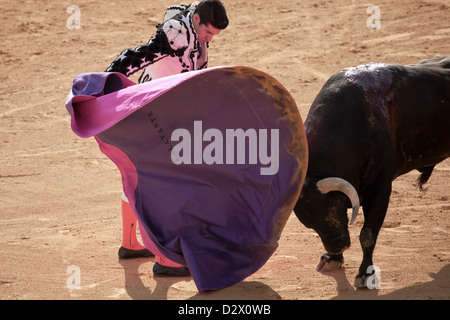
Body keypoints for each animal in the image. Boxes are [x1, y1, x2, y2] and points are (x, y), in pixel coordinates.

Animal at [294, 55, 448, 288]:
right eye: (309, 223)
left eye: (332, 209)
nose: (338, 246)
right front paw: (332, 259)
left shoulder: (380, 189)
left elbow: (367, 234)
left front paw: (365, 275)